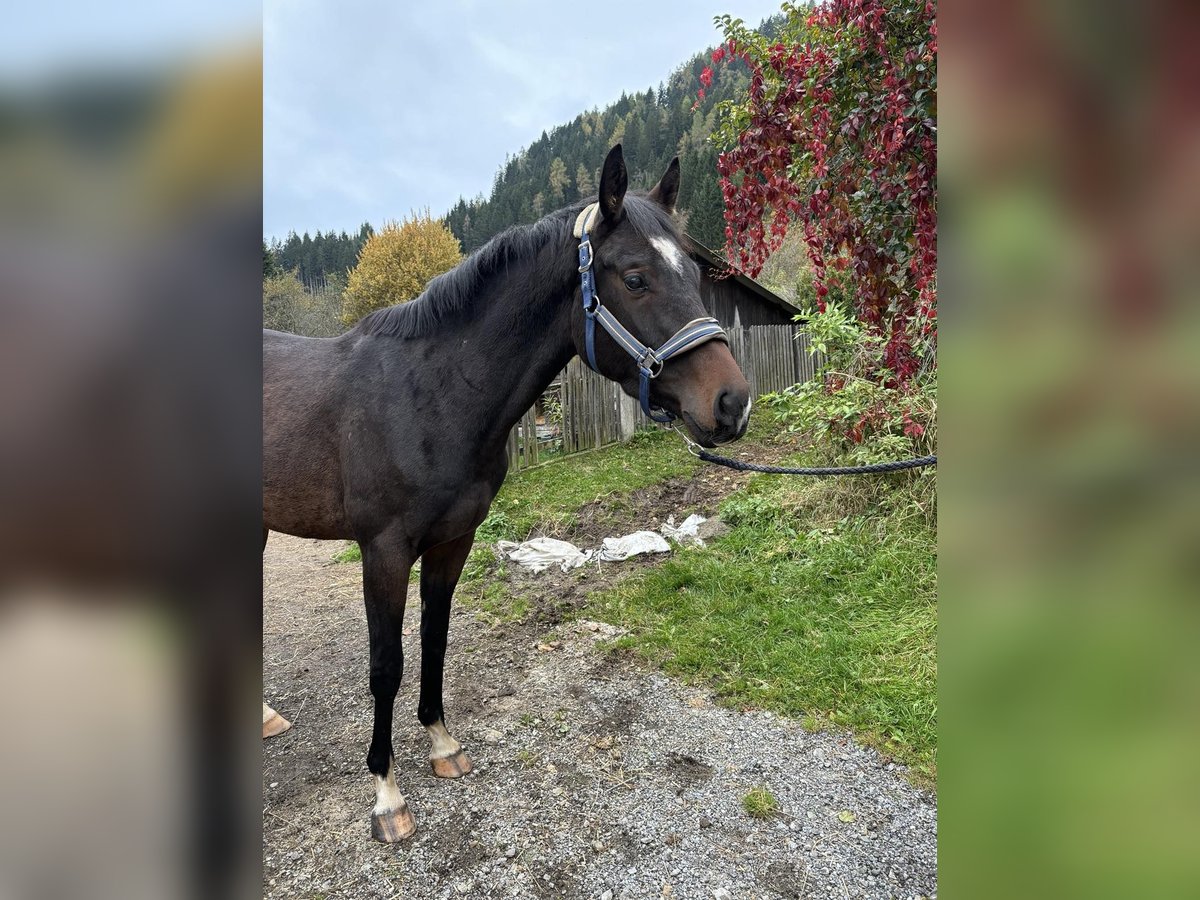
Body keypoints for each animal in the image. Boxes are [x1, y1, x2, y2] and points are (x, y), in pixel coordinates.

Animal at [262, 144, 748, 844]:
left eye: (693, 271)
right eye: (634, 278)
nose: (732, 403)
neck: (433, 395)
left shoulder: (453, 542)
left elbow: (435, 640)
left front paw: (442, 745)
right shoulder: (382, 552)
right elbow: (386, 665)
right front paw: (386, 796)